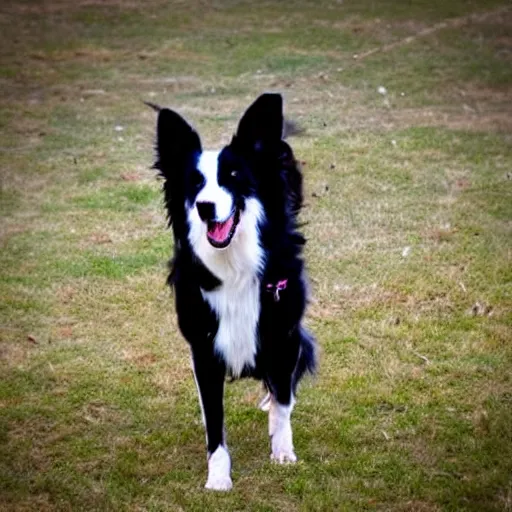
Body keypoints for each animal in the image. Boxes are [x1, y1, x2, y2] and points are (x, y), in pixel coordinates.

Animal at [149, 94, 316, 490]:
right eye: (194, 183)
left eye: (234, 177)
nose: (205, 207)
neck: (234, 266)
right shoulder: (204, 350)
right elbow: (214, 421)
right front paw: (218, 478)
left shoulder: (284, 335)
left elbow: (283, 401)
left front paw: (282, 452)